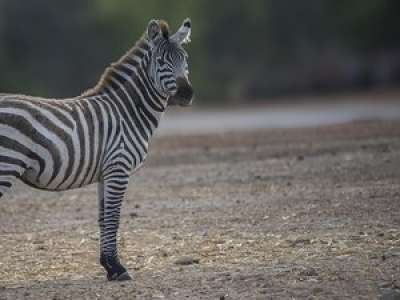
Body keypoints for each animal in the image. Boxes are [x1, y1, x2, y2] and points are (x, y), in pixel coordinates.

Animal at [0, 18, 194, 282]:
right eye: (161, 61)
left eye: (185, 59)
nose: (187, 94)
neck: (128, 111)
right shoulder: (119, 168)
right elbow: (114, 218)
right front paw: (118, 268)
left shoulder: (106, 172)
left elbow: (103, 218)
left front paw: (109, 266)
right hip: (5, 164)